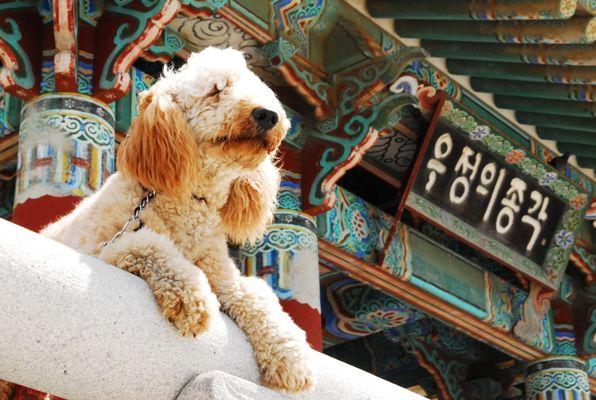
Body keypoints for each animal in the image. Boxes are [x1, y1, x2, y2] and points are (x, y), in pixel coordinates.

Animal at [1, 47, 316, 396]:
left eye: (260, 89)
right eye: (216, 90)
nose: (268, 115)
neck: (190, 202)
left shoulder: (223, 274)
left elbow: (257, 294)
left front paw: (293, 359)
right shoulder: (104, 249)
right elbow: (153, 246)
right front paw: (192, 298)